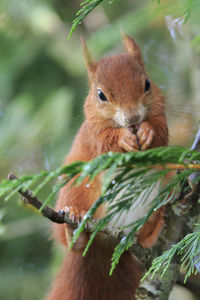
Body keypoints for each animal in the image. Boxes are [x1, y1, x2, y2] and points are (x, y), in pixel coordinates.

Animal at [45, 35, 169, 300]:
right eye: (101, 95)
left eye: (147, 83)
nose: (133, 118)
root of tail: (108, 241)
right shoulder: (93, 132)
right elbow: (105, 141)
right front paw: (123, 139)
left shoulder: (160, 111)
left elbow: (160, 131)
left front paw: (147, 131)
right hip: (76, 188)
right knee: (73, 243)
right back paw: (74, 226)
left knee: (145, 238)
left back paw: (155, 226)